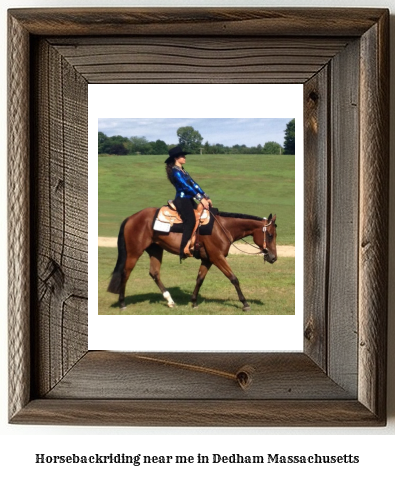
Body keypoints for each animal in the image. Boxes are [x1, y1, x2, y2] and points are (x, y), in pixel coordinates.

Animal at [106, 207, 276, 312]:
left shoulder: (207, 260)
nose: (273, 257)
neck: (222, 228)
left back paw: (170, 301)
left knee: (154, 273)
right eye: (270, 235)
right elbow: (233, 278)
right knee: (125, 274)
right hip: (134, 252)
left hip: (155, 250)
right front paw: (245, 303)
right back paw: (122, 303)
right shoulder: (217, 257)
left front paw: (193, 302)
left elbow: (199, 279)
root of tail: (131, 218)